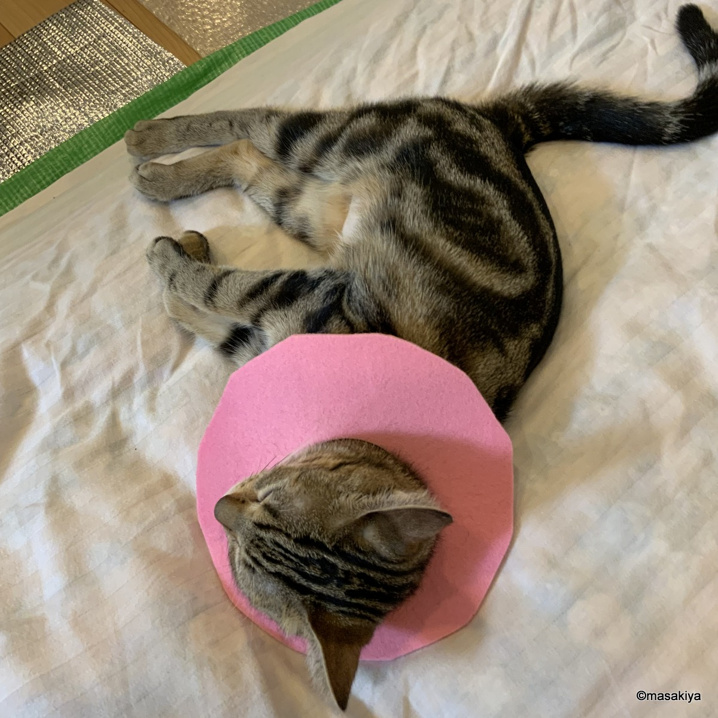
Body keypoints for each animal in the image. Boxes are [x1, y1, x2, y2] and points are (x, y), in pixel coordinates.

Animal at [126, 5, 718, 710]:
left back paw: (162, 186)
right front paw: (175, 253)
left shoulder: (289, 308)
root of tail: (501, 127)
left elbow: (207, 296)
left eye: (244, 554)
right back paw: (152, 144)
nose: (224, 505)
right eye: (266, 498)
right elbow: (206, 291)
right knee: (251, 122)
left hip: (310, 200)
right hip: (330, 147)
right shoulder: (302, 303)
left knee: (250, 156)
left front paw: (171, 260)